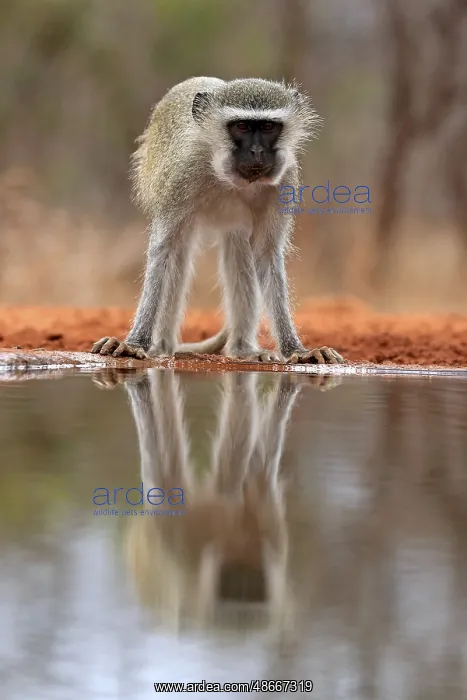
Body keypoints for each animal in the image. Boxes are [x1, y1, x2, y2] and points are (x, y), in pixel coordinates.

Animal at [91, 77, 345, 364]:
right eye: (242, 126)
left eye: (268, 126)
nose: (257, 151)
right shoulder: (183, 173)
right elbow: (163, 250)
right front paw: (134, 344)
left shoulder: (285, 179)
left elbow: (266, 254)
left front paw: (296, 350)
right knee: (179, 255)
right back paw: (162, 346)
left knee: (238, 249)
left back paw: (242, 349)